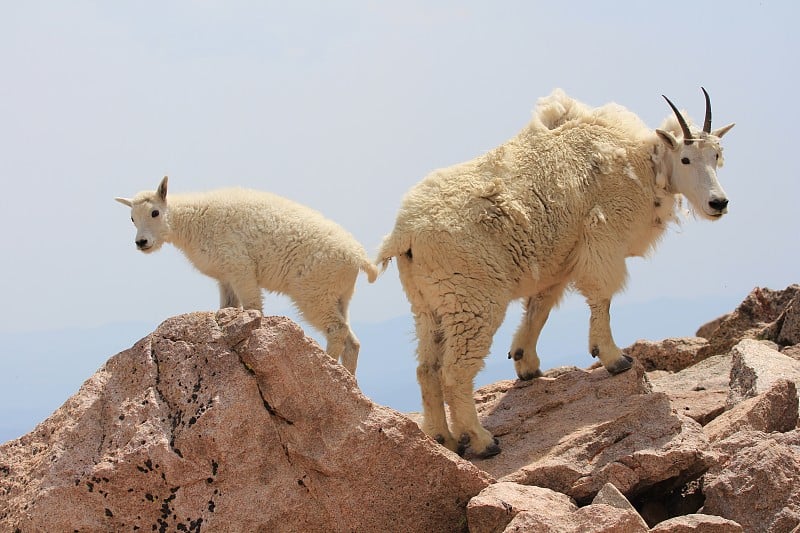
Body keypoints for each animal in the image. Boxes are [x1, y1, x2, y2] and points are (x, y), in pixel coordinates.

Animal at [115, 177, 378, 372]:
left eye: (155, 212)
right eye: (132, 218)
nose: (141, 242)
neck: (192, 221)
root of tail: (359, 257)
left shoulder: (240, 267)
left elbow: (253, 306)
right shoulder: (226, 277)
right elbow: (228, 306)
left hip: (314, 291)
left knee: (337, 329)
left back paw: (329, 364)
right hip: (339, 294)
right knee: (352, 339)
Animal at [378, 88, 736, 458]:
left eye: (717, 155)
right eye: (686, 159)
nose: (718, 203)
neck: (640, 161)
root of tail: (404, 234)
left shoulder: (559, 259)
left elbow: (540, 307)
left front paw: (527, 364)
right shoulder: (603, 238)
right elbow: (602, 297)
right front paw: (614, 358)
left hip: (429, 305)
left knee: (427, 369)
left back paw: (442, 438)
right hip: (471, 300)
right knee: (455, 372)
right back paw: (482, 440)